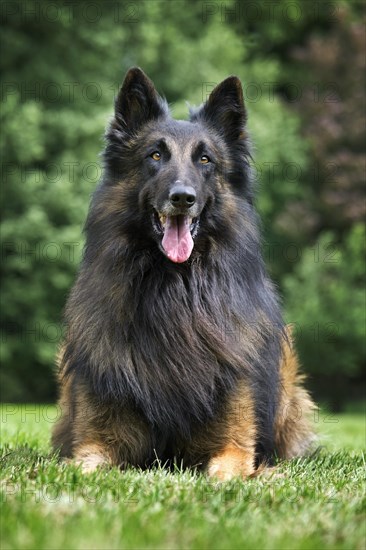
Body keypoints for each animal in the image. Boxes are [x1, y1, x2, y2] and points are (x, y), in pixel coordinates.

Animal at [51, 69, 314, 480]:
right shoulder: (95, 444)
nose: (182, 197)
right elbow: (82, 467)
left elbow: (225, 474)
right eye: (155, 155)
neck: (172, 291)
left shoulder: (234, 447)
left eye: (205, 159)